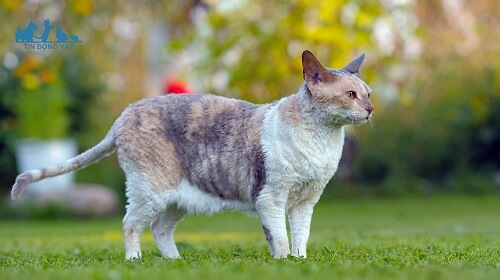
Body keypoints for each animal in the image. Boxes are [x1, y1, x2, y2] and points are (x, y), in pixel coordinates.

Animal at [10, 49, 376, 260]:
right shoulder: (271, 198)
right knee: (130, 224)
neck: (322, 141)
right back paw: (135, 262)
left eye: (368, 95)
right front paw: (285, 264)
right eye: (351, 95)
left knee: (159, 228)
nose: (371, 110)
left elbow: (300, 237)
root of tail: (125, 112)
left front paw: (301, 262)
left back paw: (176, 263)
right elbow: (280, 239)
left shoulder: (304, 203)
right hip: (150, 190)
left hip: (176, 200)